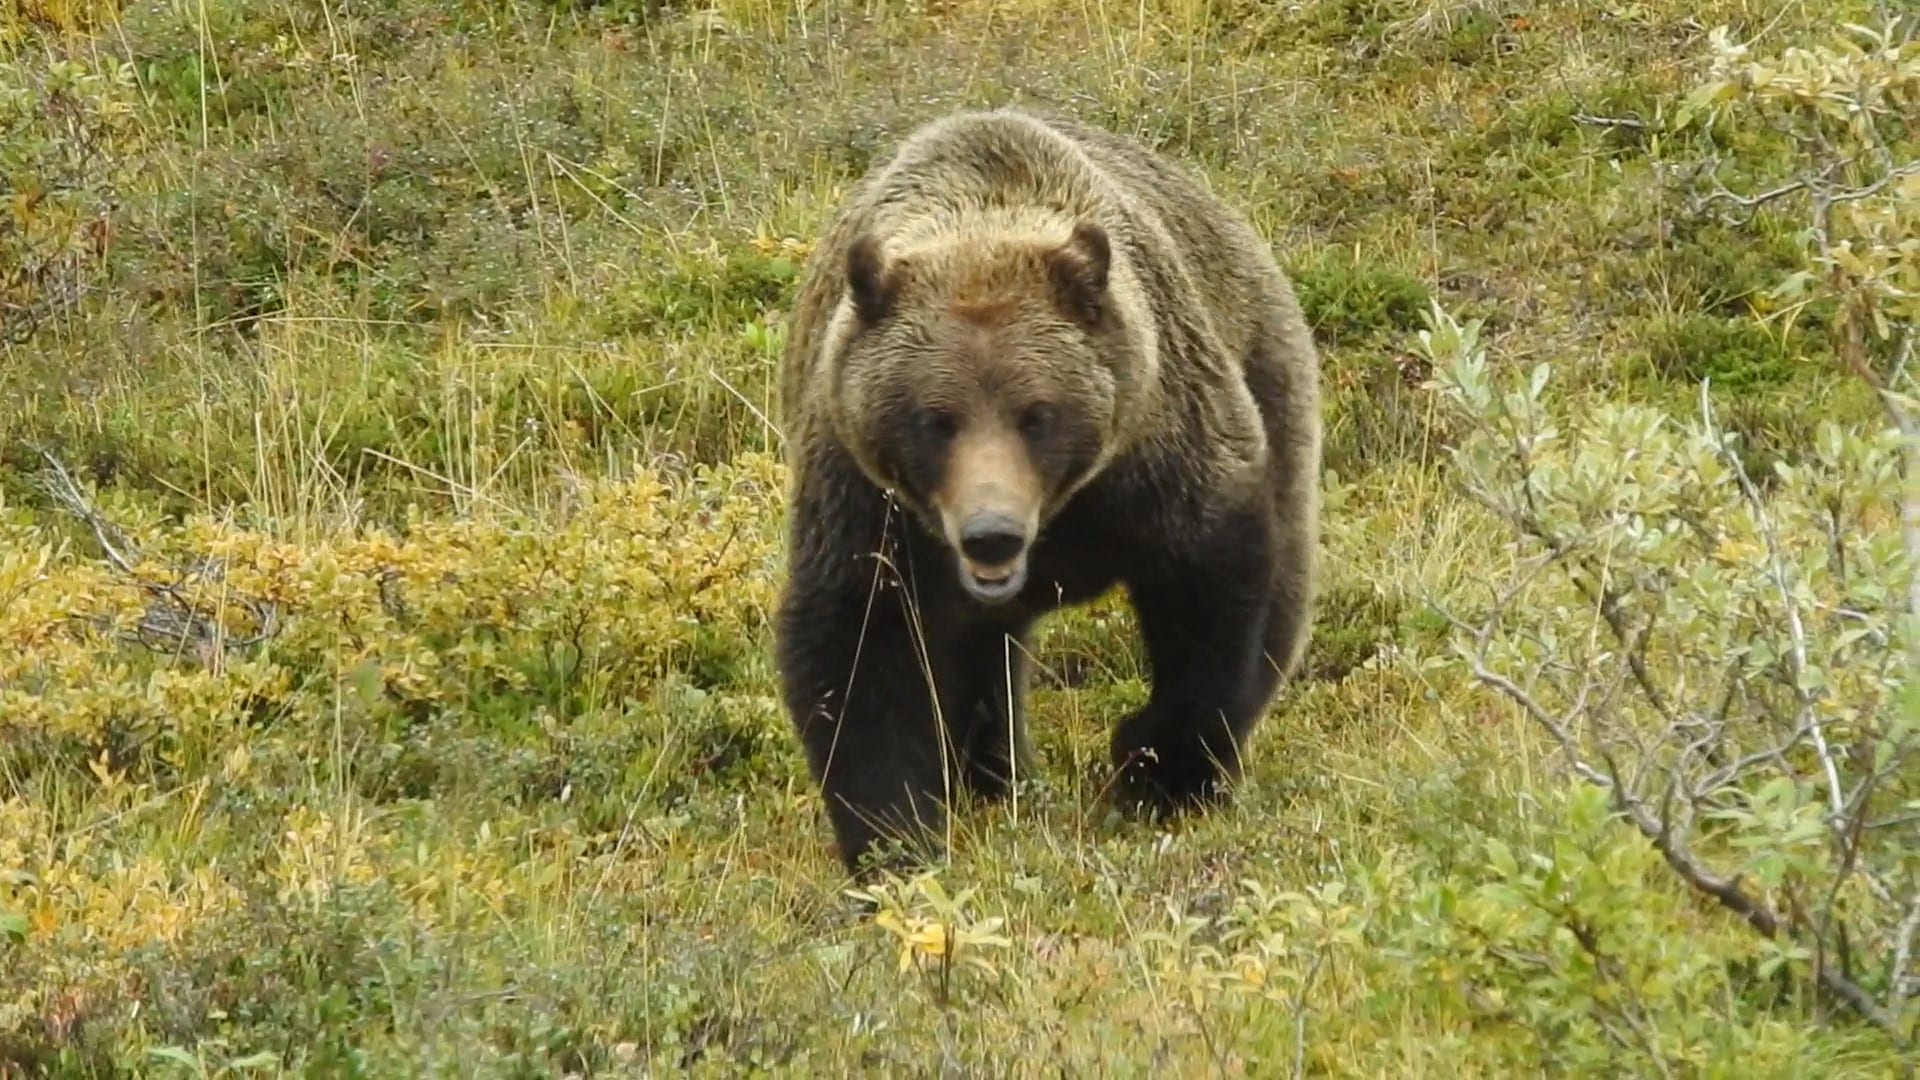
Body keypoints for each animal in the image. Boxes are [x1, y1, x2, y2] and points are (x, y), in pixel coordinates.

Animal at [768, 107, 1320, 876]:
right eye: (934, 419)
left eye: (1038, 413)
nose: (991, 532)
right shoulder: (864, 501)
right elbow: (859, 651)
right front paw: (896, 839)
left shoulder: (1161, 458)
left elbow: (1212, 600)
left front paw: (1153, 768)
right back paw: (995, 775)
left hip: (1269, 370)